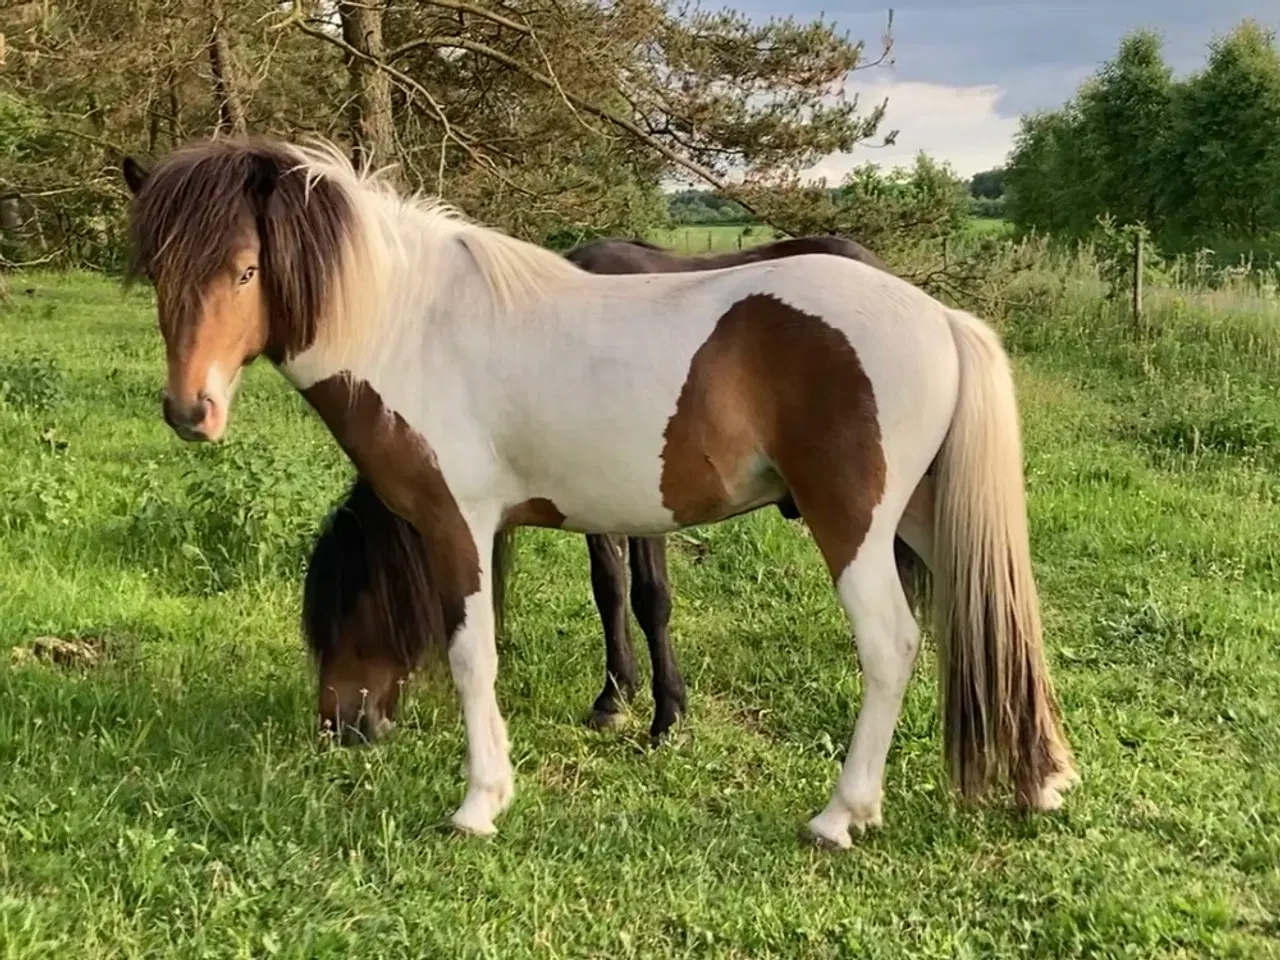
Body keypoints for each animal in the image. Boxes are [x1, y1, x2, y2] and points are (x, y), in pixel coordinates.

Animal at [300, 232, 926, 742]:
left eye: (348, 606)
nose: (339, 726)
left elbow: (651, 598)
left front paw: (667, 713)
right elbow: (610, 591)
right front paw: (614, 696)